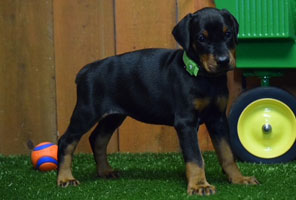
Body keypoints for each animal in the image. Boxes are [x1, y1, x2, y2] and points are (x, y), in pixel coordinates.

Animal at [56, 7, 258, 195]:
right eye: (201, 38)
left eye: (228, 33)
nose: (223, 61)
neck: (205, 78)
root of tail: (86, 70)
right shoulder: (186, 122)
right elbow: (195, 157)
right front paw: (199, 185)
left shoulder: (218, 118)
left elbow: (227, 153)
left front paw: (238, 178)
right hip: (87, 111)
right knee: (66, 140)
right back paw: (65, 177)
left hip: (114, 116)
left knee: (98, 138)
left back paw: (105, 171)